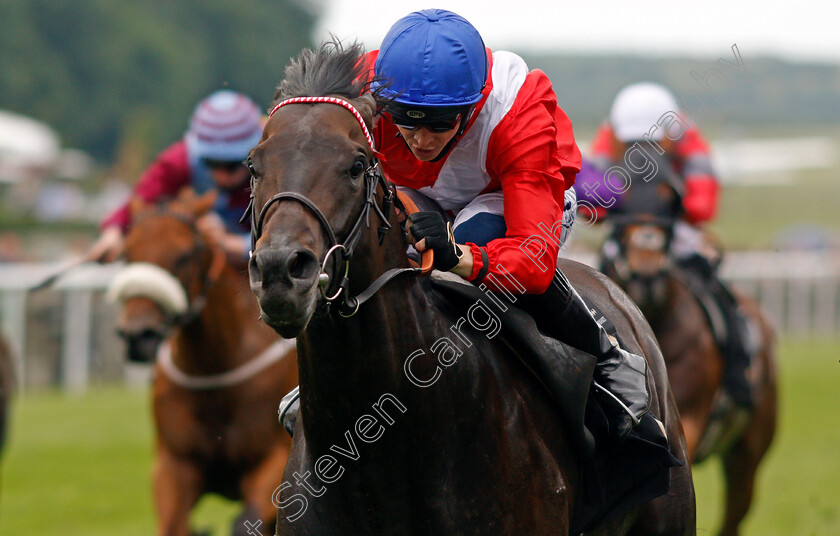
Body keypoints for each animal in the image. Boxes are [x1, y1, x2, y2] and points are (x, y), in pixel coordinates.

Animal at [106, 191, 298, 532]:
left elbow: (246, 521)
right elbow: (174, 525)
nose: (137, 334)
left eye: (183, 256)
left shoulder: (272, 461)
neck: (213, 367)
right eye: (126, 255)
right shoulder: (173, 466)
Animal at [596, 151, 776, 536]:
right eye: (621, 199)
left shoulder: (690, 418)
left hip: (748, 452)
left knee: (734, 512)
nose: (645, 272)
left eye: (670, 200)